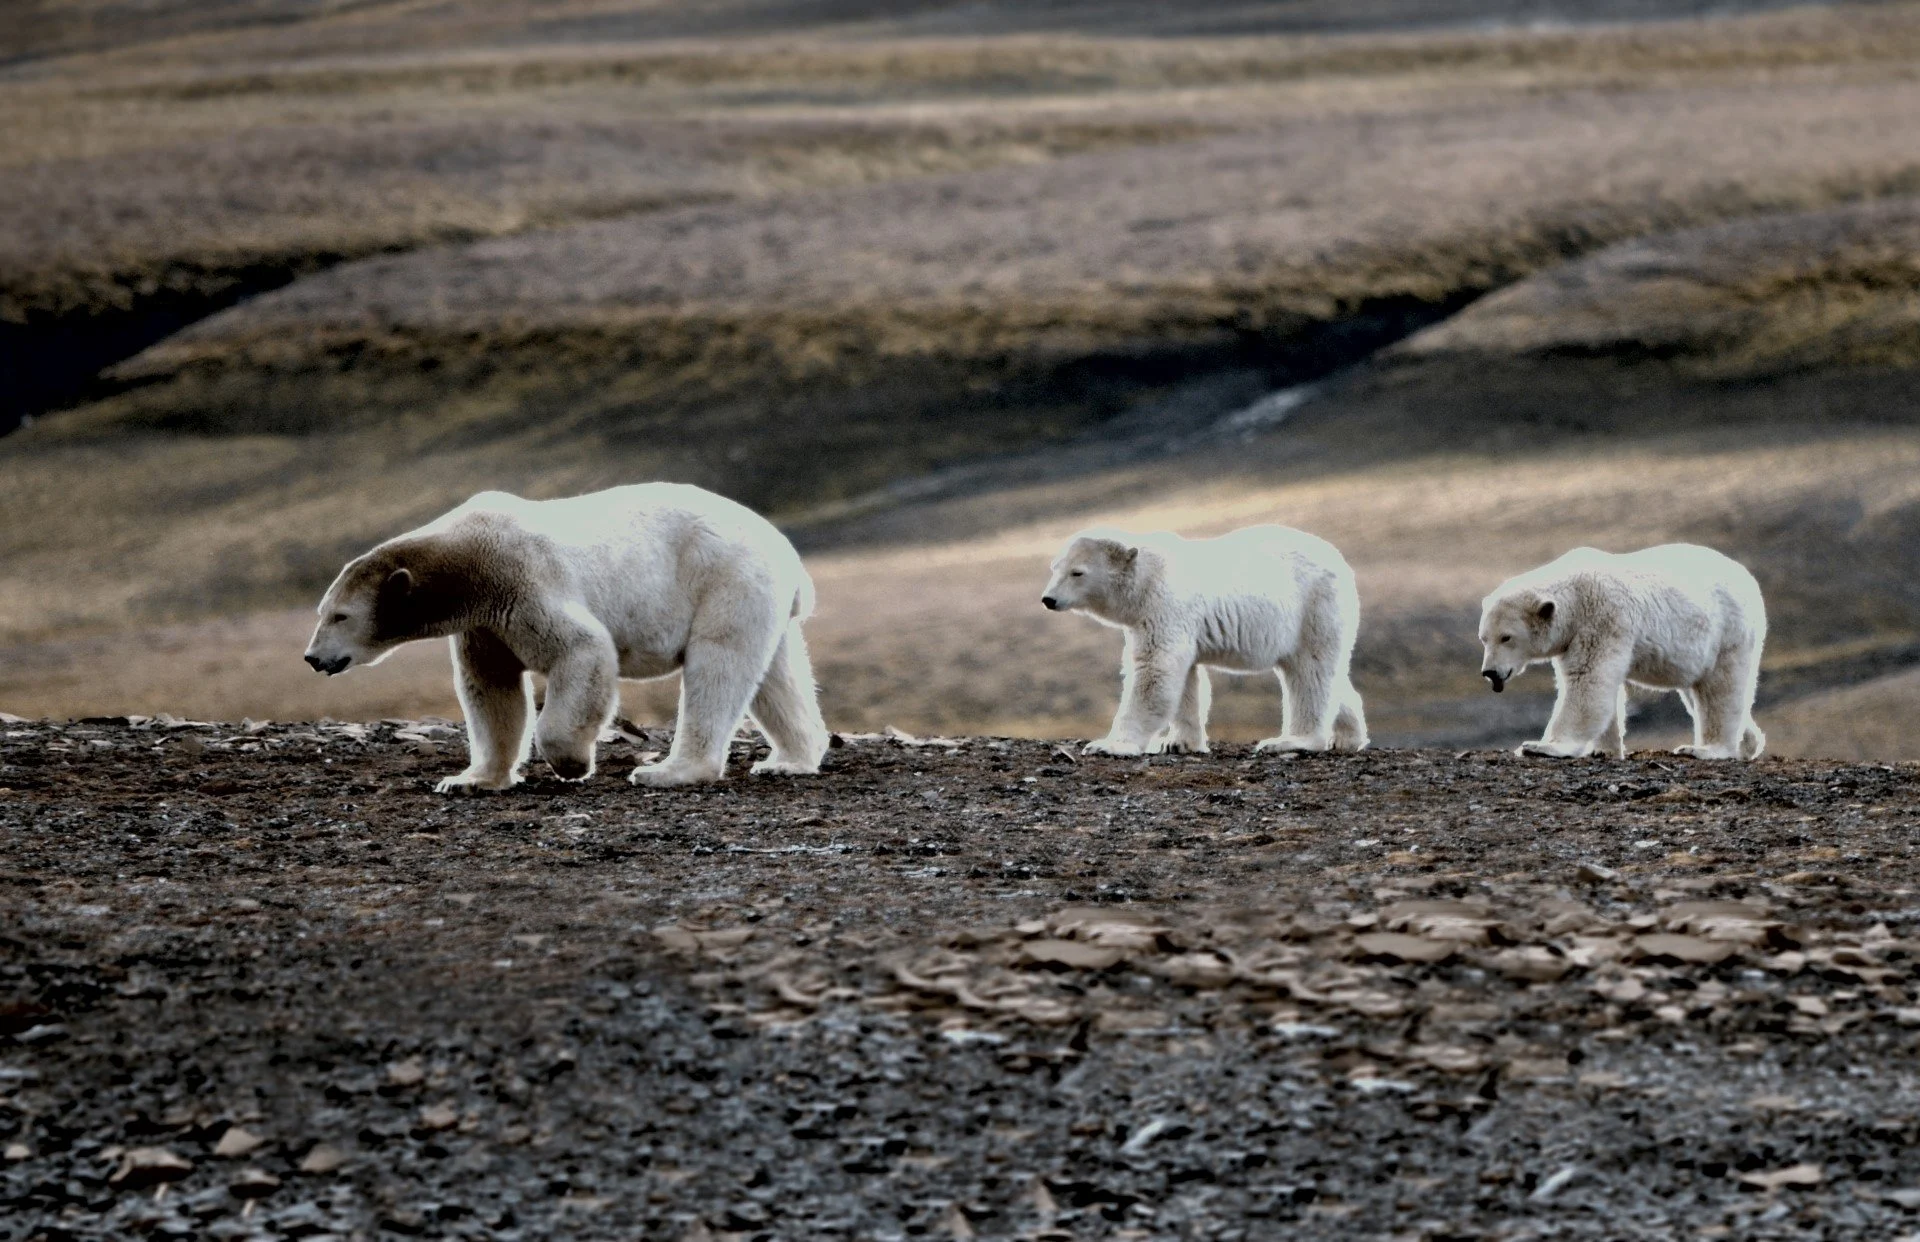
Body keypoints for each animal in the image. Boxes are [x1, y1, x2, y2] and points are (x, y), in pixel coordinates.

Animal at [303, 481, 829, 790]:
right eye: (322, 611)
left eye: (340, 616)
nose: (311, 657)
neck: (467, 559)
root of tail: (787, 551)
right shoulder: (485, 624)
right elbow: (490, 689)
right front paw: (470, 778)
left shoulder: (524, 580)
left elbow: (583, 650)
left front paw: (572, 762)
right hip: (759, 597)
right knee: (776, 675)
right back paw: (789, 759)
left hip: (725, 578)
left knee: (718, 666)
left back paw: (667, 770)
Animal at [1044, 525, 1374, 756]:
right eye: (1054, 567)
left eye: (1077, 572)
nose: (1048, 599)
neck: (1147, 576)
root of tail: (1340, 562)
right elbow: (1185, 678)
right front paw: (1178, 743)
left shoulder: (1165, 606)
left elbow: (1154, 671)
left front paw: (1108, 745)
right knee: (1327, 674)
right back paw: (1347, 737)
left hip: (1314, 607)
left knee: (1309, 671)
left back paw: (1291, 741)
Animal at [1482, 545, 1766, 764]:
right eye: (1483, 638)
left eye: (1506, 637)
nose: (1490, 672)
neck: (1576, 594)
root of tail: (1749, 579)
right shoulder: (1575, 635)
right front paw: (1603, 750)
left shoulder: (1603, 619)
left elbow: (1587, 680)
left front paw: (1542, 746)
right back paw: (1748, 744)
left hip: (1729, 632)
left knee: (1721, 688)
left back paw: (1706, 749)